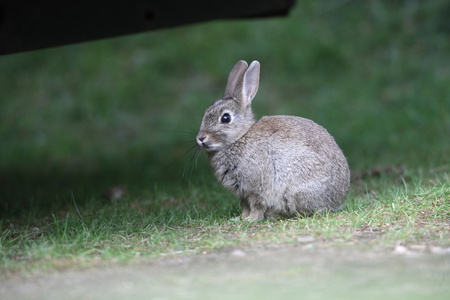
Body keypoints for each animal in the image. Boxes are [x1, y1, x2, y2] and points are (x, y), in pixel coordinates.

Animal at [195, 60, 350, 220]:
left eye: (225, 118)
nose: (200, 138)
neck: (239, 137)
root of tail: (338, 197)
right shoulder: (243, 193)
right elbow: (245, 206)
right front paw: (240, 218)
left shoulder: (256, 188)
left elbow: (256, 205)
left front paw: (250, 220)